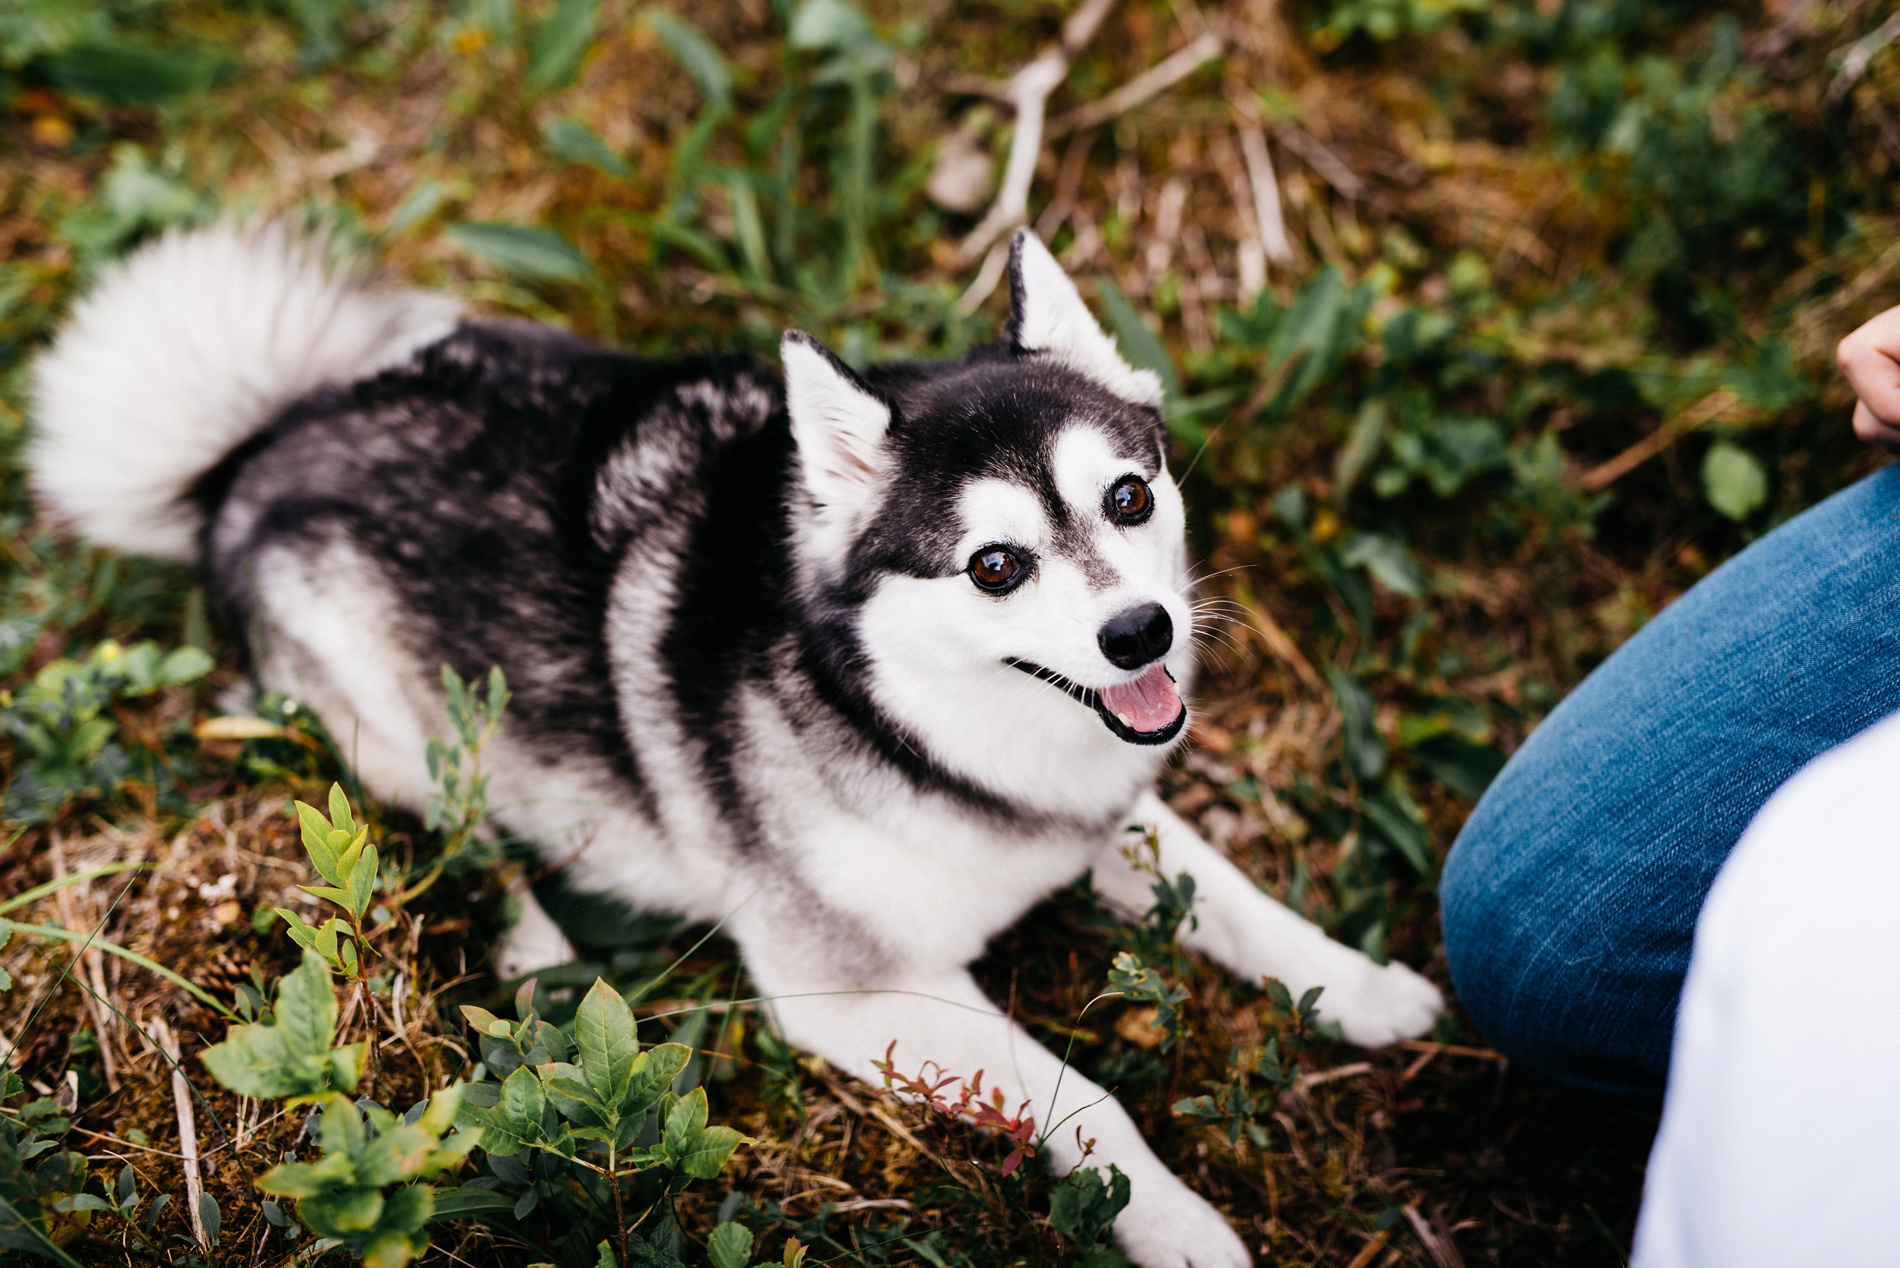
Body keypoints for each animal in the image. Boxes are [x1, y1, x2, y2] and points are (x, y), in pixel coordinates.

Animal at [33, 223, 1436, 1262]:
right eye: (995, 565)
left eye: (1129, 496)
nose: (1143, 633)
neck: (910, 715)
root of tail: (254, 449)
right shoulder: (848, 990)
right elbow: (1082, 1093)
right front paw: (1179, 1222)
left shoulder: (1095, 805)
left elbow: (1241, 899)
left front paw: (1363, 986)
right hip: (394, 730)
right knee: (446, 824)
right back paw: (534, 941)